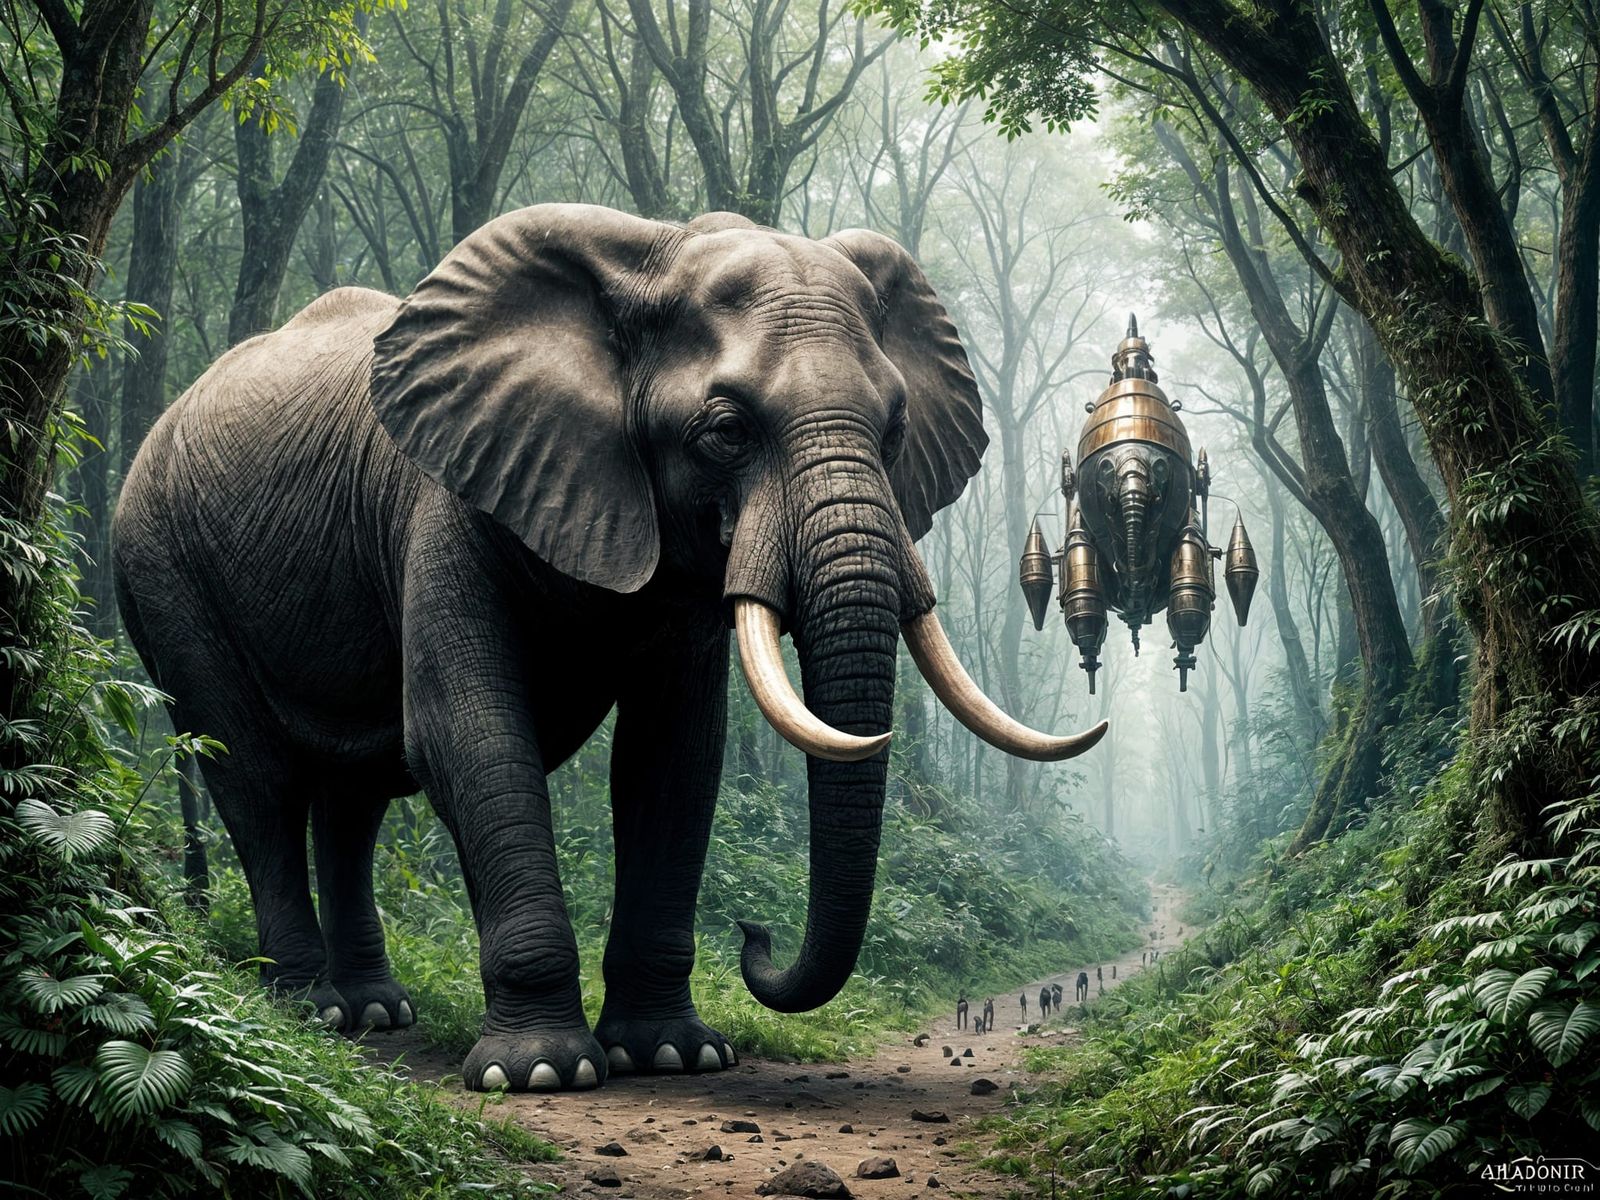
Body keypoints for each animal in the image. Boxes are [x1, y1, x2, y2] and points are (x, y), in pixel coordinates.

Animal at [113, 204, 1107, 1093]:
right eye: (726, 431)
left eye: (896, 430)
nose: (755, 936)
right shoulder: (446, 499)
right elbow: (465, 734)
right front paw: (541, 1073)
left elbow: (671, 757)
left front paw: (674, 1056)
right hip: (159, 562)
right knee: (255, 776)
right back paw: (306, 1010)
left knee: (352, 795)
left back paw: (373, 1012)